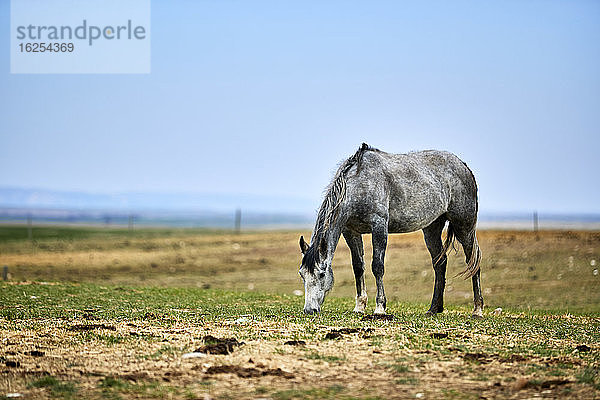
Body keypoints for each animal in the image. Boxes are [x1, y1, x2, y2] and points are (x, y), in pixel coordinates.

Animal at [300, 142, 482, 318]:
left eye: (322, 274)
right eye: (302, 274)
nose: (309, 310)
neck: (359, 184)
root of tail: (463, 166)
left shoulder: (379, 226)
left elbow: (377, 266)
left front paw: (380, 307)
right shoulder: (350, 231)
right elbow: (358, 267)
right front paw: (359, 306)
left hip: (464, 227)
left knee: (472, 261)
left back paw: (477, 310)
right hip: (432, 228)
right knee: (440, 263)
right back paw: (433, 309)